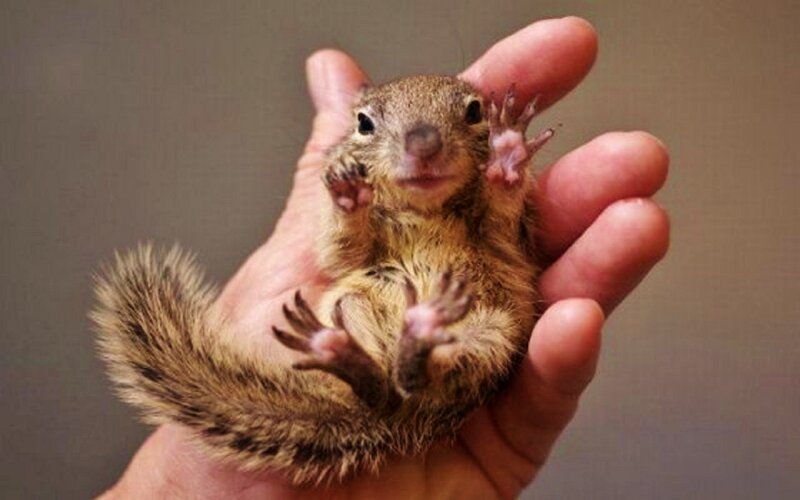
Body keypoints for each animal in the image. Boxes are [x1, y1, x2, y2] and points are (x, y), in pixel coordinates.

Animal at [91, 74, 555, 485]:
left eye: (475, 111)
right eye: (363, 123)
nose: (423, 144)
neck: (423, 209)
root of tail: (401, 423)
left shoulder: (508, 243)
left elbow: (501, 221)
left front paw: (508, 154)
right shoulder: (350, 255)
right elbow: (342, 250)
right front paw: (347, 191)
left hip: (490, 337)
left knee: (422, 375)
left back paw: (417, 333)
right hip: (351, 306)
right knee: (382, 389)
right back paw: (344, 352)